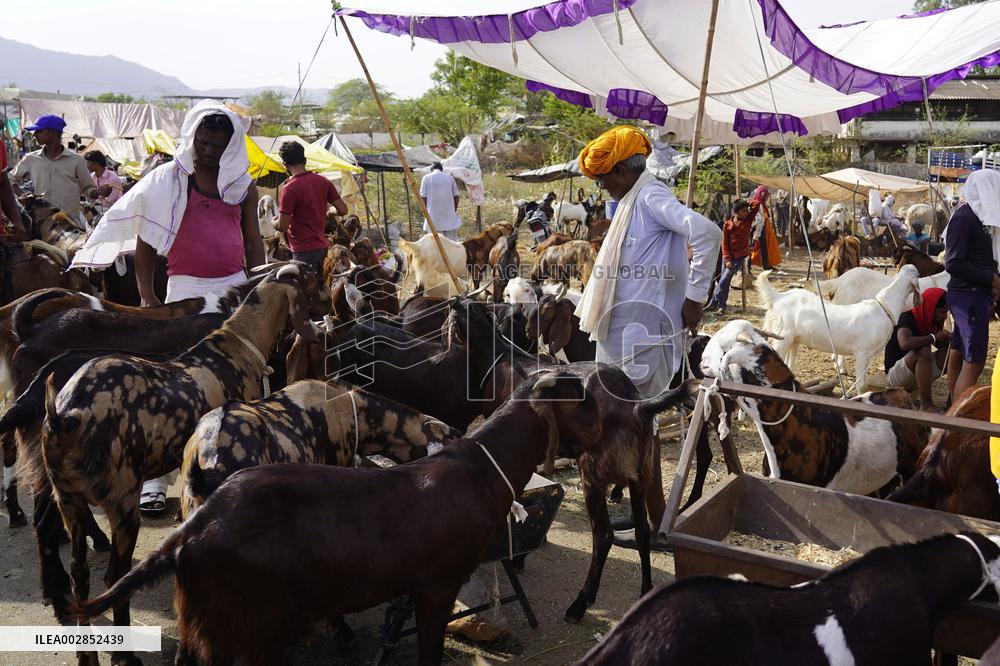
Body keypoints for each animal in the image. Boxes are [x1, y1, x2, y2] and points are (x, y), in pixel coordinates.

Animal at [38, 264, 326, 658]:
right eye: (314, 281)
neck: (237, 342)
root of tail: (66, 415)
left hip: (69, 500)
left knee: (80, 576)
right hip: (122, 503)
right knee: (115, 578)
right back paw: (126, 658)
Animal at [758, 265, 921, 394]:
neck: (884, 308)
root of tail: (778, 297)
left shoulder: (869, 356)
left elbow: (864, 382)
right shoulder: (862, 352)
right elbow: (861, 385)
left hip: (794, 340)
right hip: (782, 337)